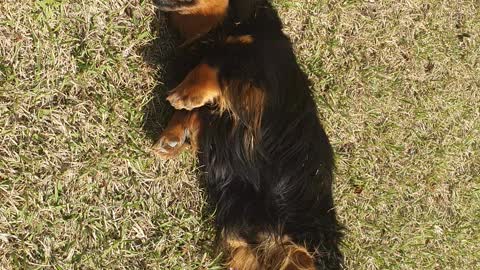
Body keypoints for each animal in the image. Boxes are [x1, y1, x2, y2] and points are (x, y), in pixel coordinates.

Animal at [152, 1, 344, 268]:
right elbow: (199, 112)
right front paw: (175, 137)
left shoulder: (260, 78)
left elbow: (219, 59)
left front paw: (187, 93)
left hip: (302, 251)